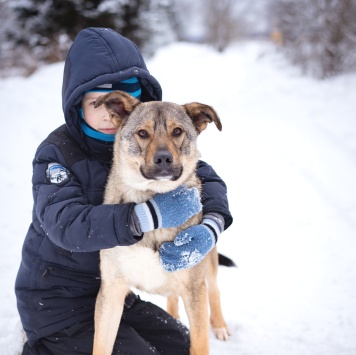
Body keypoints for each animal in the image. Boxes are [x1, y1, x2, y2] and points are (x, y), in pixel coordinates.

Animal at [92, 91, 231, 355]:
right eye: (142, 133)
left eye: (177, 131)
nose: (164, 158)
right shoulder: (112, 290)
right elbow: (101, 345)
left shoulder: (194, 289)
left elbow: (199, 343)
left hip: (206, 265)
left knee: (215, 290)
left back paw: (220, 325)